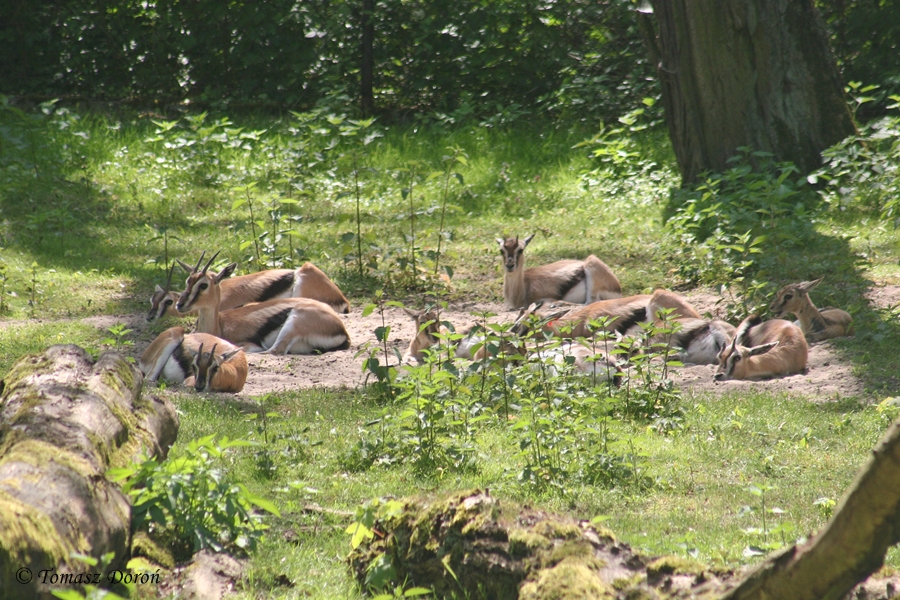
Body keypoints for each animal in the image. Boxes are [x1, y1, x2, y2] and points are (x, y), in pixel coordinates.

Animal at [176, 252, 350, 354]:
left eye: (203, 285)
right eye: (188, 281)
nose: (180, 304)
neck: (219, 326)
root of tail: (341, 329)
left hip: (293, 322)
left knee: (273, 351)